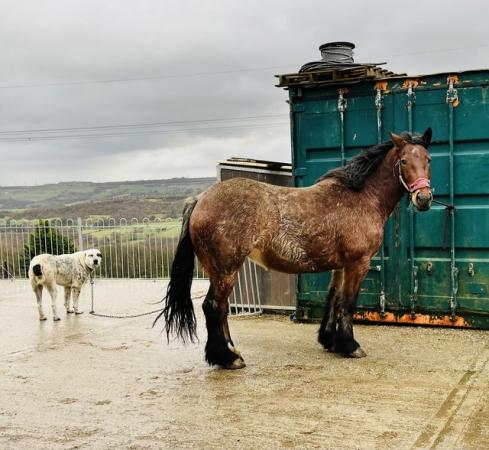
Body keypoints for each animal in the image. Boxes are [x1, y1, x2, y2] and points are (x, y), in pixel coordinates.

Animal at [155, 126, 430, 370]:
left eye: (427, 159)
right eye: (404, 161)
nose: (424, 199)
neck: (361, 197)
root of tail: (200, 199)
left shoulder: (341, 266)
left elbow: (334, 299)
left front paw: (331, 342)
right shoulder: (358, 263)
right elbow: (347, 303)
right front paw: (351, 346)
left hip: (218, 270)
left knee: (221, 308)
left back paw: (233, 351)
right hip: (226, 268)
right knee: (213, 306)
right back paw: (227, 359)